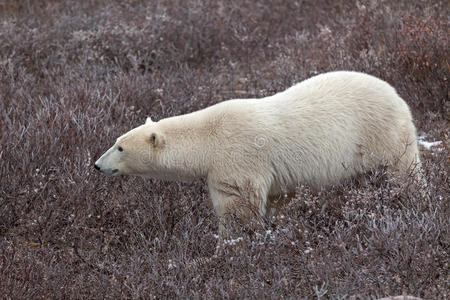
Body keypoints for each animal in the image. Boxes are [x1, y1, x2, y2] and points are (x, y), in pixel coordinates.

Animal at [95, 71, 422, 233]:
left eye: (120, 146)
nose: (97, 165)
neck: (207, 138)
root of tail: (396, 93)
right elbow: (278, 200)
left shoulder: (236, 159)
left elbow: (238, 206)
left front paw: (229, 245)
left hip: (379, 133)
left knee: (402, 172)